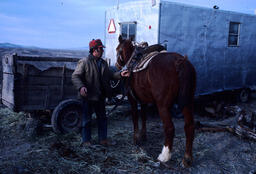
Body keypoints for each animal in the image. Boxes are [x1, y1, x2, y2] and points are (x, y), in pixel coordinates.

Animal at [115, 35, 197, 167]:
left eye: (118, 50)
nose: (118, 67)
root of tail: (180, 62)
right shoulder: (143, 100)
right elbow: (143, 116)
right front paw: (143, 136)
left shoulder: (133, 99)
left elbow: (135, 117)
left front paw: (136, 138)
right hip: (187, 103)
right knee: (189, 126)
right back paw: (187, 158)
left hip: (163, 106)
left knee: (169, 128)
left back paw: (164, 156)